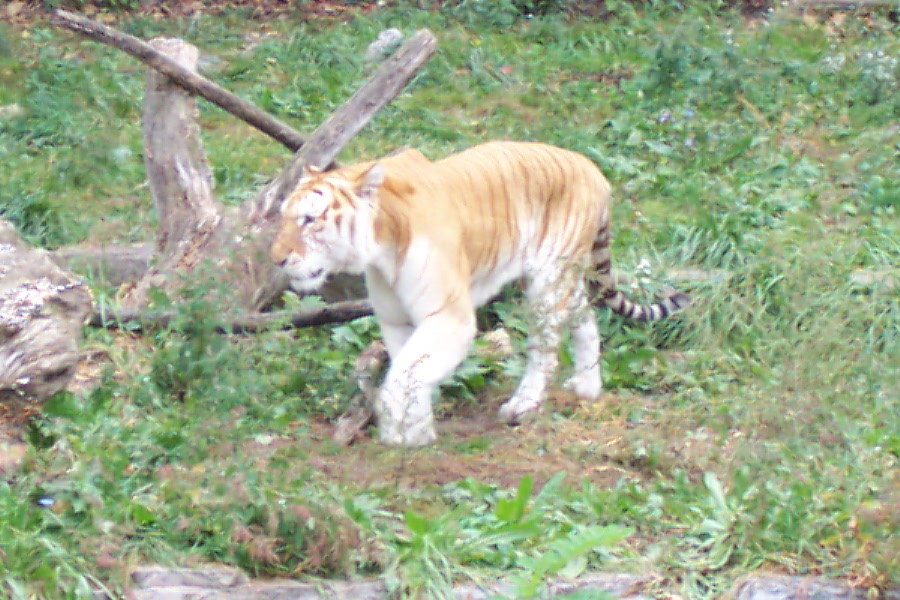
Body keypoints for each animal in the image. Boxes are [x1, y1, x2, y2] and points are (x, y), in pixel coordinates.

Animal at [270, 141, 689, 446]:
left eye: (309, 219)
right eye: (285, 216)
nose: (276, 259)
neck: (381, 249)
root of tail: (594, 169)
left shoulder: (449, 317)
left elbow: (404, 376)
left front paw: (402, 437)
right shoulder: (396, 320)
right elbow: (407, 371)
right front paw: (415, 432)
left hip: (547, 281)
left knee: (546, 350)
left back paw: (522, 405)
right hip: (560, 280)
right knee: (585, 317)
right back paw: (588, 387)